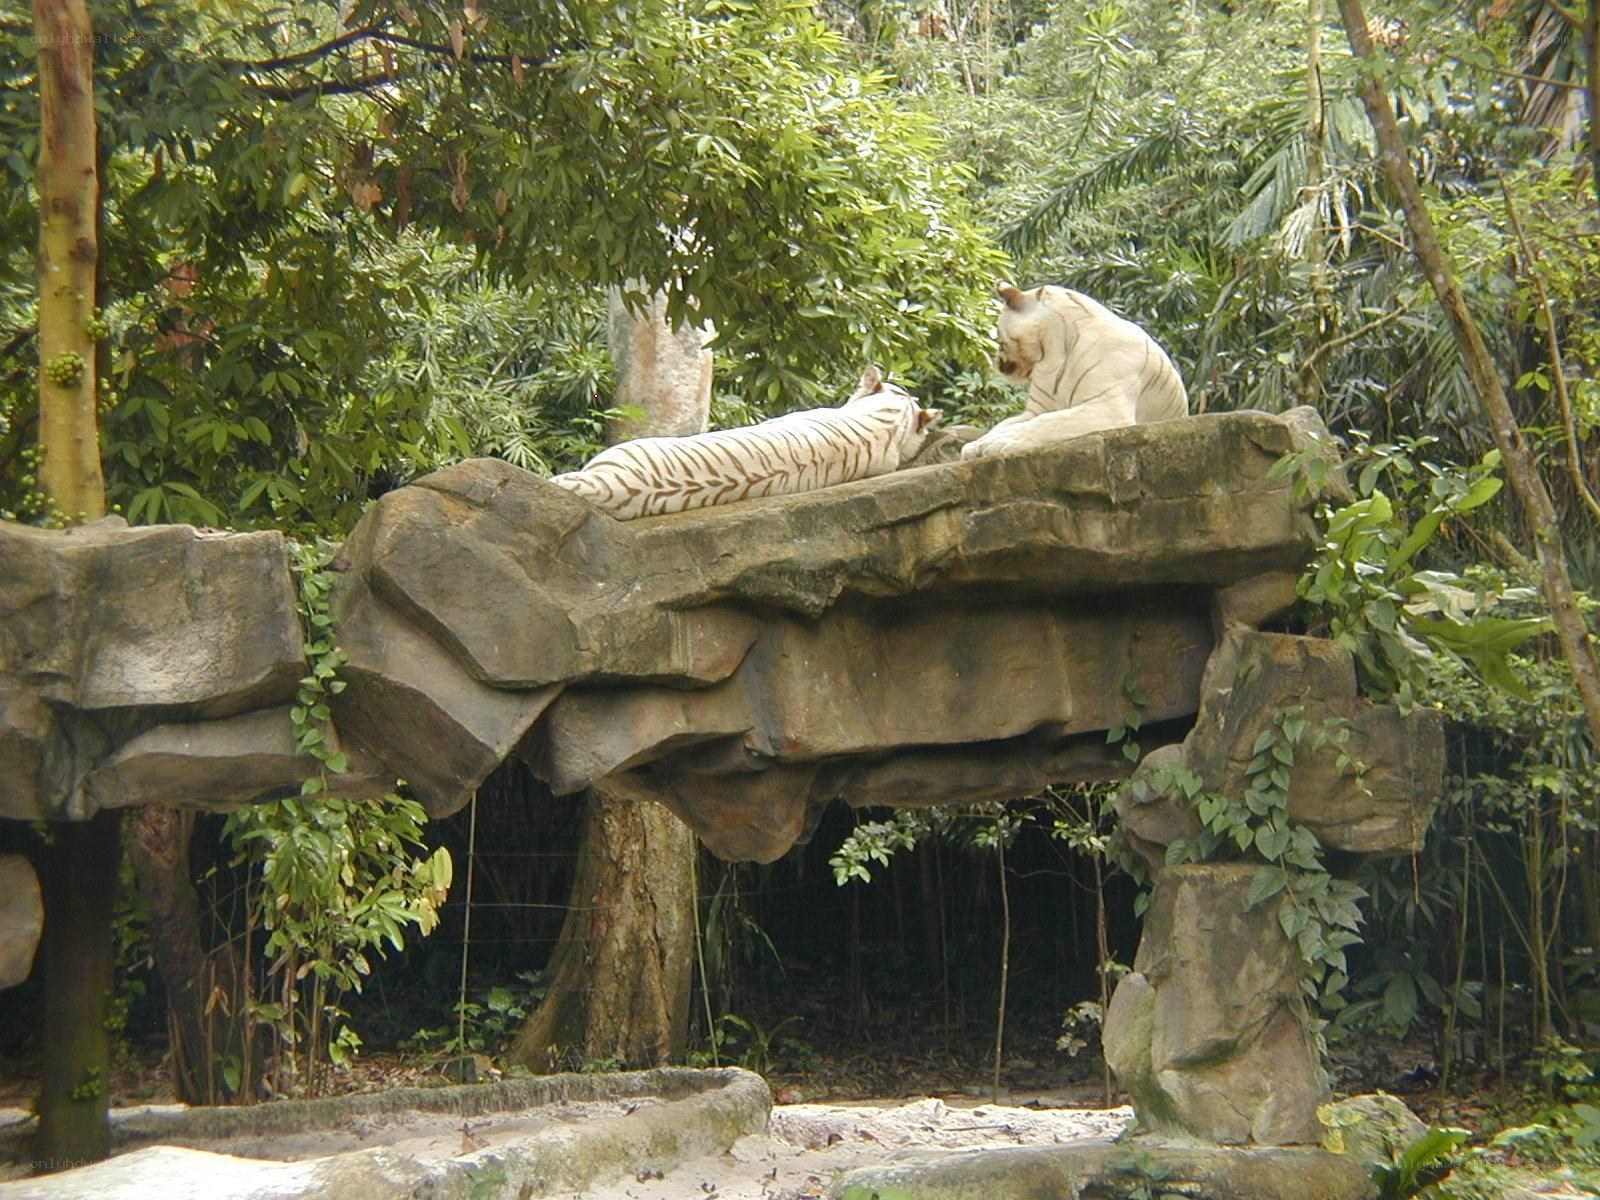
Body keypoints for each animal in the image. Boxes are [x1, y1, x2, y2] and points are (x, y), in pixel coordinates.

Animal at [961, 281, 1188, 460]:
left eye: (998, 337)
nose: (998, 363)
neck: (1052, 353)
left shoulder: (1106, 406)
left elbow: (1048, 422)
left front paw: (995, 444)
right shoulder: (1036, 409)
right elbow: (1005, 423)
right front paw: (975, 445)